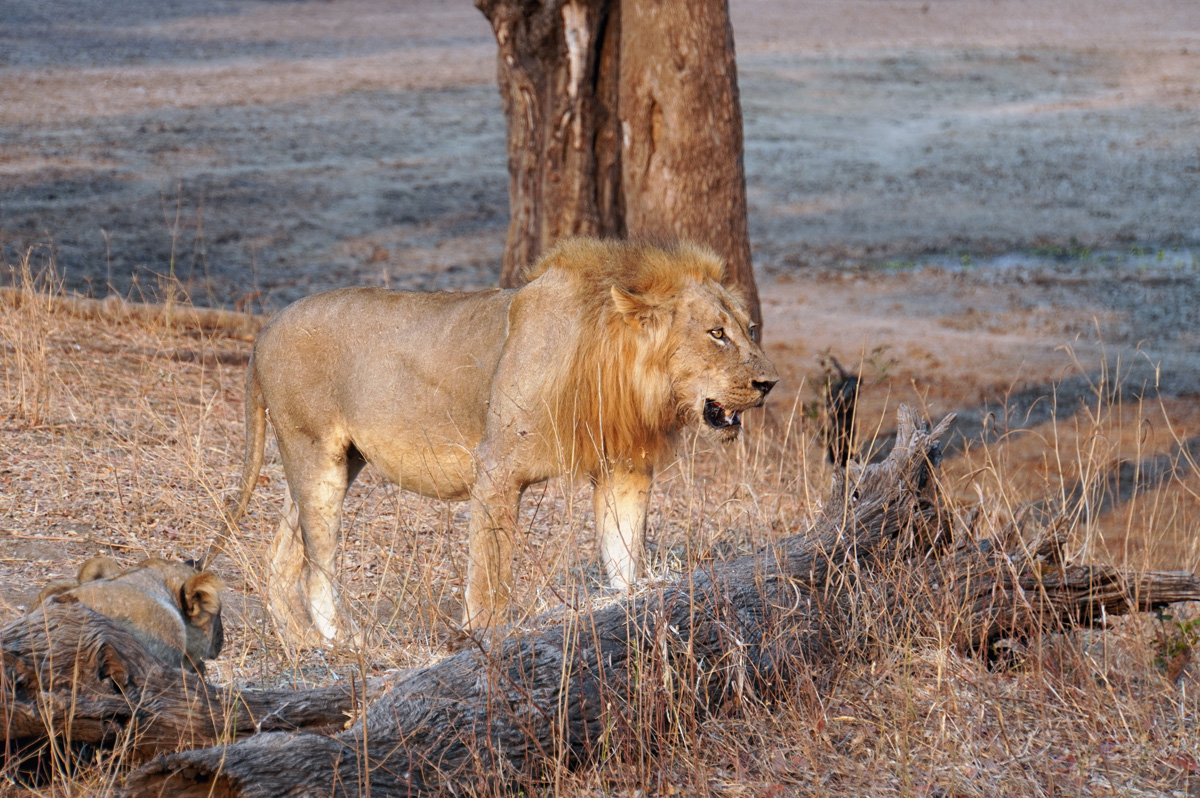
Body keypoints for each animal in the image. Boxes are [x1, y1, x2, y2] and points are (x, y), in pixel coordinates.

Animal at [226, 238, 778, 643]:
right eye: (716, 334)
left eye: (750, 328)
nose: (768, 383)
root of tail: (266, 327)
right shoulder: (495, 469)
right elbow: (490, 575)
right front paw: (481, 641)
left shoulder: (624, 469)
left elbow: (624, 560)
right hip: (314, 453)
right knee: (317, 564)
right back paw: (344, 643)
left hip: (337, 462)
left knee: (280, 555)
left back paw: (302, 646)